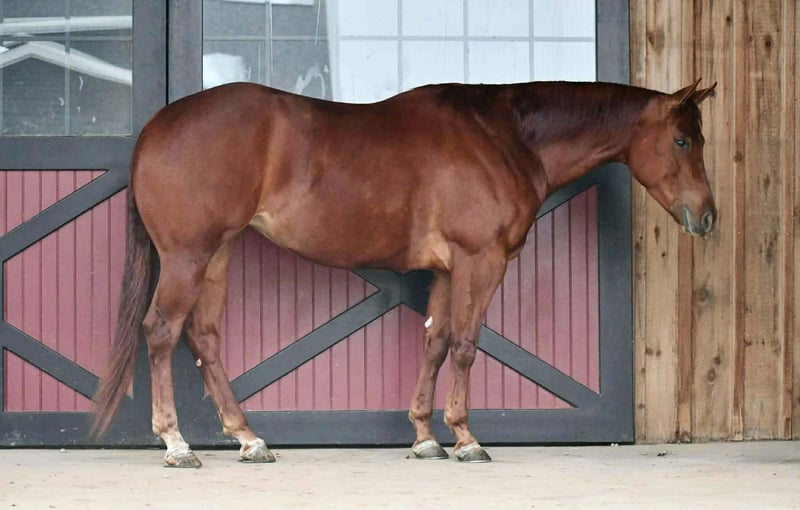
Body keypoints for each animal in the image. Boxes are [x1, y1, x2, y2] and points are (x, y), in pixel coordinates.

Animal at [93, 79, 717, 467]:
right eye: (683, 139)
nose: (707, 216)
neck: (502, 138)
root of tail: (157, 127)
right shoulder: (480, 260)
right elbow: (465, 344)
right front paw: (465, 439)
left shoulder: (445, 269)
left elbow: (435, 343)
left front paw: (423, 438)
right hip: (187, 255)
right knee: (162, 332)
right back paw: (177, 444)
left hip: (219, 253)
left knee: (203, 336)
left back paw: (249, 440)